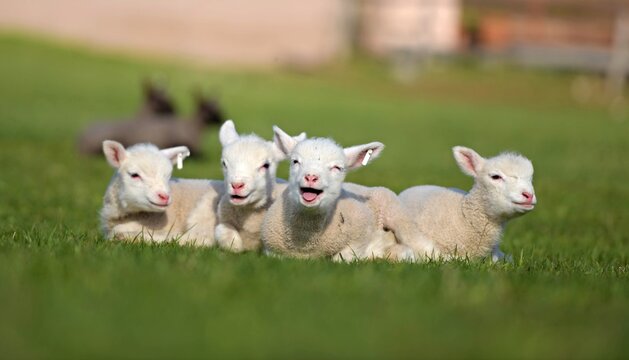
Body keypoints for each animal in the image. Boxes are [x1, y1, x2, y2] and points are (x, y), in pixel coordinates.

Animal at [260, 126, 418, 262]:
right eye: (295, 161)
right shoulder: (272, 251)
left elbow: (342, 258)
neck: (306, 242)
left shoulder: (357, 242)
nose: (311, 177)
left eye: (337, 168)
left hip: (399, 217)